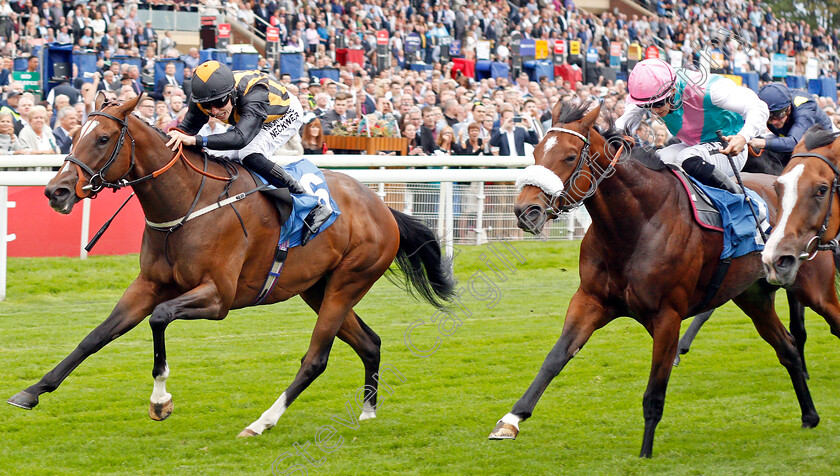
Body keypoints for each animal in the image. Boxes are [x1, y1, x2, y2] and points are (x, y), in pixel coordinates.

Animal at [6, 91, 456, 436]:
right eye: (75, 134)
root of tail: (383, 208)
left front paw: (161, 400)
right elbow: (96, 336)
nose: (56, 191)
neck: (187, 203)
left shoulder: (218, 297)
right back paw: (367, 411)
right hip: (317, 288)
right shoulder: (147, 285)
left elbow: (159, 317)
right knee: (369, 342)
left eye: (102, 138)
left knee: (316, 359)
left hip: (348, 282)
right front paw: (31, 392)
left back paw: (262, 422)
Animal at [486, 101, 840, 458]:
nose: (525, 210)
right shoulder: (591, 300)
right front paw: (510, 420)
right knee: (788, 347)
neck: (637, 225)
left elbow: (655, 390)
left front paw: (645, 452)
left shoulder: (667, 315)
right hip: (753, 297)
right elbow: (555, 358)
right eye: (536, 152)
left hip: (813, 289)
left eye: (570, 157)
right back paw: (809, 415)